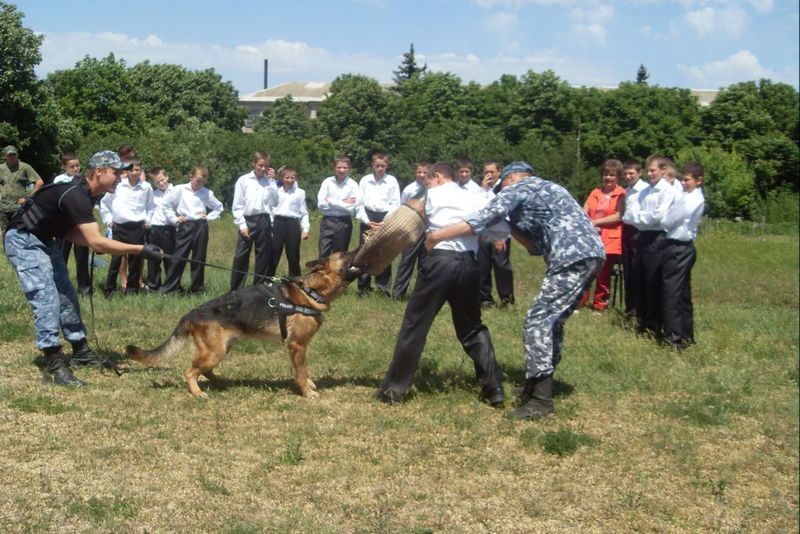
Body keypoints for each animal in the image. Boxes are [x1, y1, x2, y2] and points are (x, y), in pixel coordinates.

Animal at [124, 251, 360, 398]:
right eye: (343, 254)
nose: (361, 245)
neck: (310, 291)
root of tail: (191, 314)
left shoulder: (299, 348)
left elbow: (304, 371)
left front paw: (309, 385)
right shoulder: (296, 346)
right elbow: (301, 372)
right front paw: (308, 392)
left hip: (220, 350)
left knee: (204, 371)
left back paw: (221, 382)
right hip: (215, 352)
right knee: (190, 372)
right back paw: (198, 392)